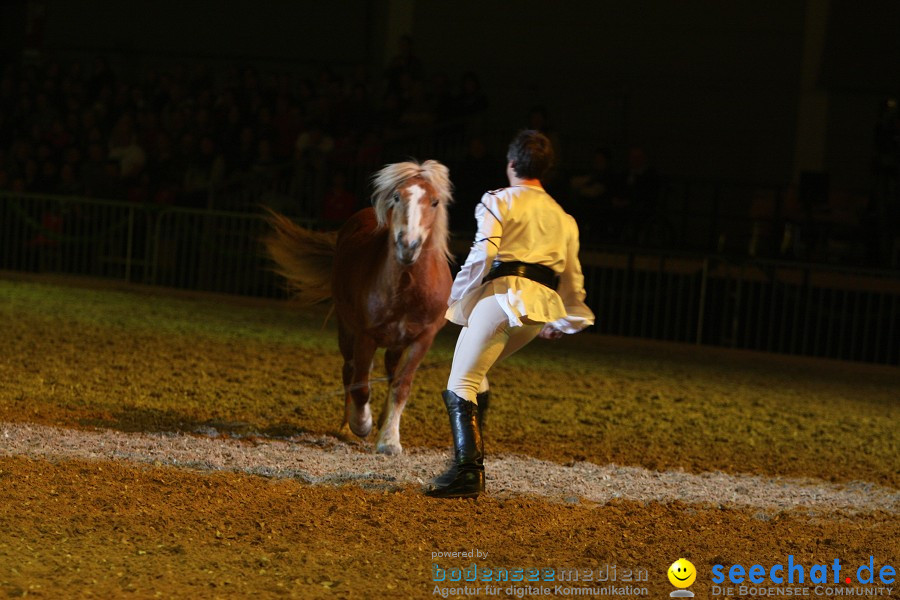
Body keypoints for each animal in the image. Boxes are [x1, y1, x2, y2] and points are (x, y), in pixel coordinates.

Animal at [264, 162, 454, 452]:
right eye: (397, 197)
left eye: (434, 202)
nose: (408, 246)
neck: (407, 288)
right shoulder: (366, 335)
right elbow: (361, 386)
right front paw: (361, 424)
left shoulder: (423, 339)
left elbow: (401, 386)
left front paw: (389, 439)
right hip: (347, 331)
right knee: (350, 371)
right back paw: (346, 426)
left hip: (395, 344)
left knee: (388, 372)